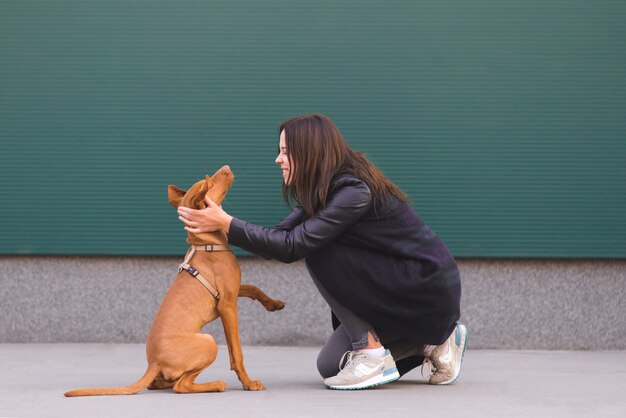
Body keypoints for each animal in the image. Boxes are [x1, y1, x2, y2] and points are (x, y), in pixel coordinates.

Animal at [64, 165, 284, 396]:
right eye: (210, 183)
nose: (226, 167)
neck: (207, 243)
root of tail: (153, 363)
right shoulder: (227, 305)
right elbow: (237, 352)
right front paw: (248, 383)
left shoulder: (232, 290)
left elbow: (252, 287)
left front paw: (273, 303)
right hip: (208, 342)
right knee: (182, 386)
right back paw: (214, 385)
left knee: (159, 383)